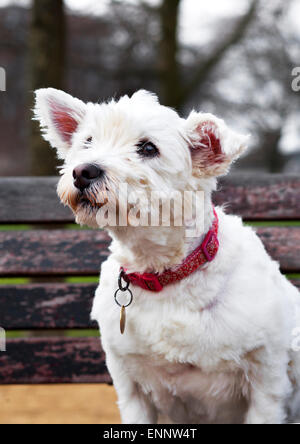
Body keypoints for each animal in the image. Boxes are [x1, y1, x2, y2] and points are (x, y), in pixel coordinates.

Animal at [33, 88, 300, 424]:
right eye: (87, 141)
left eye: (148, 148)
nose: (83, 171)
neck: (163, 271)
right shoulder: (130, 385)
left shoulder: (267, 381)